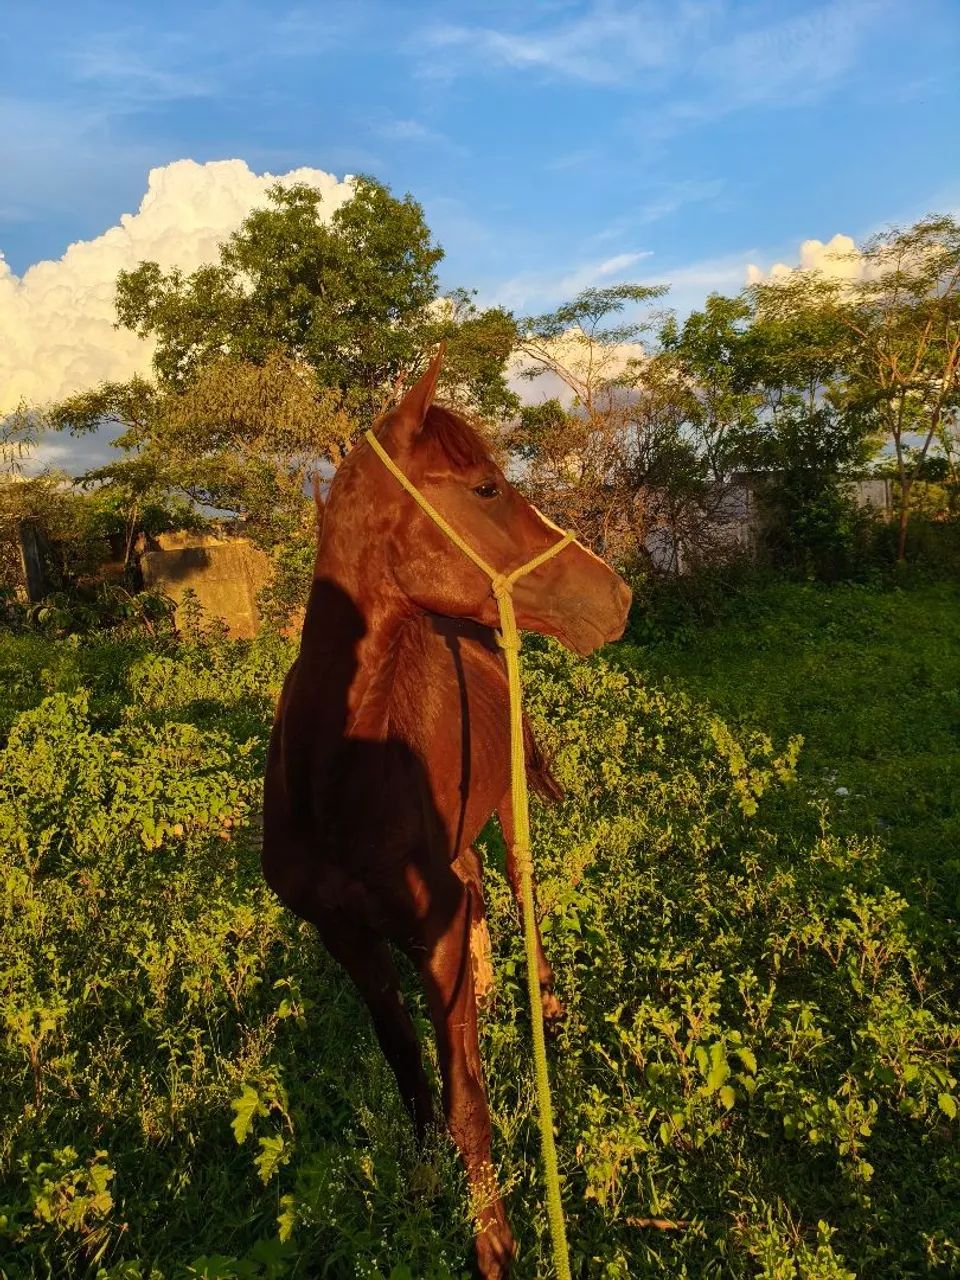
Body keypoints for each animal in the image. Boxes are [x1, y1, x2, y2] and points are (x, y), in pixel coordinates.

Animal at [261, 347, 631, 1277]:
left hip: (506, 815)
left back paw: (541, 999)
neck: (339, 780)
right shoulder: (346, 937)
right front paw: (429, 1183)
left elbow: (468, 1092)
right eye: (488, 487)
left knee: (518, 889)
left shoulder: (432, 937)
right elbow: (409, 1072)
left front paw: (492, 1239)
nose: (618, 597)